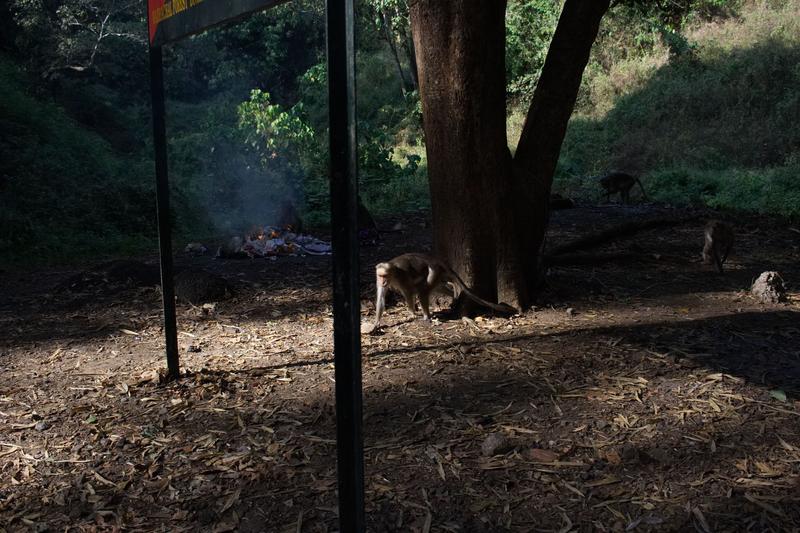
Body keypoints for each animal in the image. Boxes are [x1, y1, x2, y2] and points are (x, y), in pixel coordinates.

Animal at [366, 254, 516, 332]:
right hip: (438, 274)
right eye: (380, 276)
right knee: (436, 288)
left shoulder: (401, 277)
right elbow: (381, 298)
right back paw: (454, 296)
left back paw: (427, 316)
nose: (383, 281)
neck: (392, 275)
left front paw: (412, 313)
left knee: (423, 291)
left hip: (434, 271)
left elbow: (409, 293)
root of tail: (435, 260)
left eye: (385, 276)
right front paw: (376, 323)